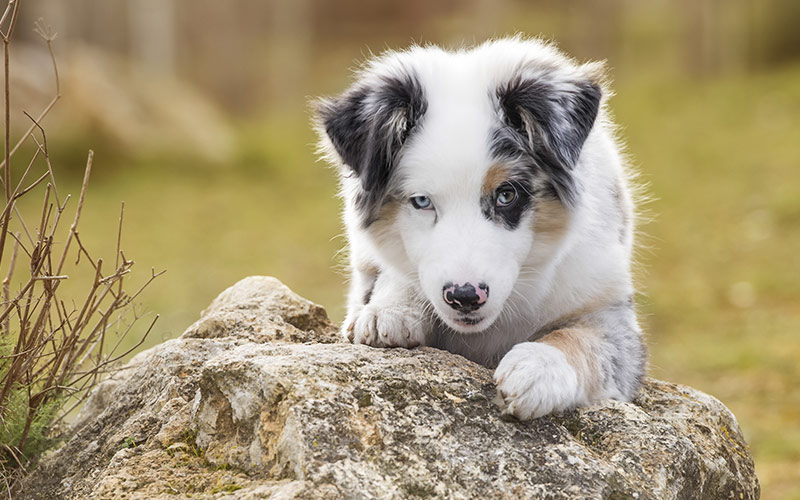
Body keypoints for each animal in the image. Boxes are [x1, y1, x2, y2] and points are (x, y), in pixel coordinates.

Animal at [316, 36, 648, 418]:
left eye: (506, 194)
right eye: (421, 201)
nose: (464, 297)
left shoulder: (610, 311)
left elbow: (582, 339)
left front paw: (536, 368)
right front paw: (389, 310)